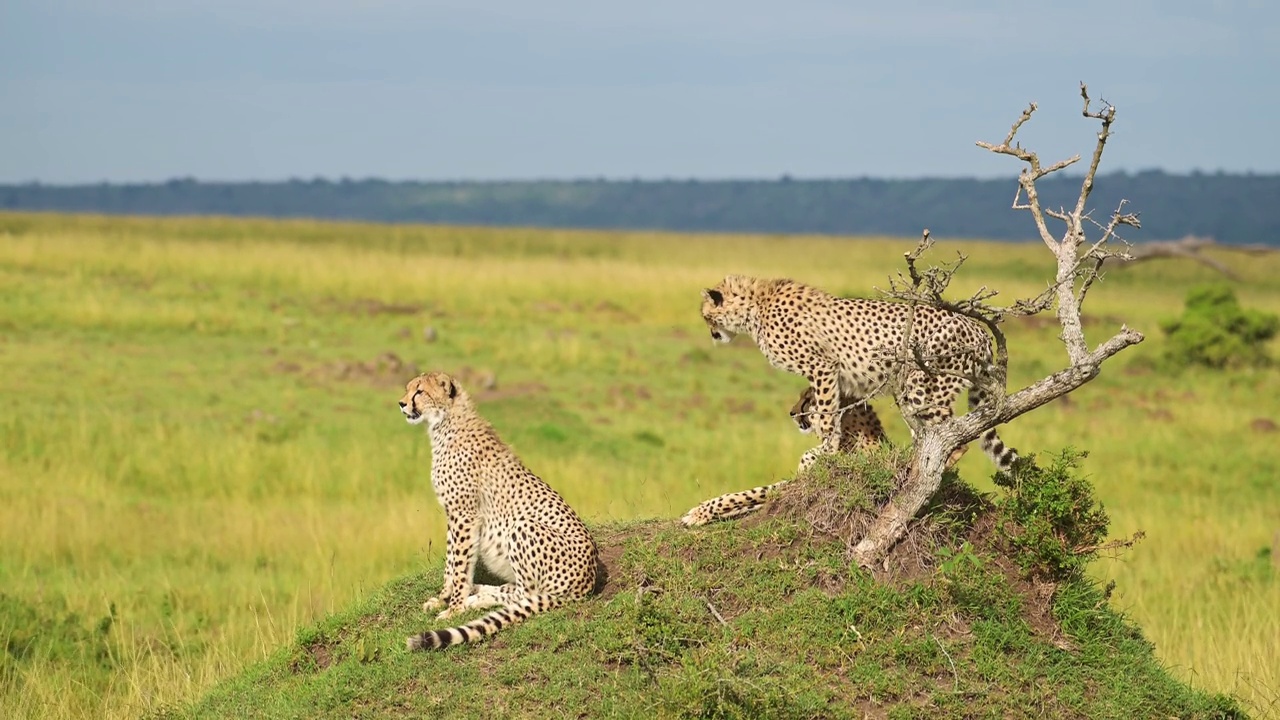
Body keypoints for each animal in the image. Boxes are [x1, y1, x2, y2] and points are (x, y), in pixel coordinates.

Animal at [396, 371, 596, 648]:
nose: (401, 403)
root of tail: (588, 581)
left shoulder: (465, 515)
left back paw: (477, 599)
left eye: (420, 392)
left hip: (523, 526)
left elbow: (460, 565)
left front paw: (454, 608)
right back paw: (479, 590)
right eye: (408, 389)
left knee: (525, 593)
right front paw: (443, 598)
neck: (445, 422)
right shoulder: (453, 514)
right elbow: (451, 561)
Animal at [680, 271, 1018, 525]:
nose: (712, 334)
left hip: (922, 386)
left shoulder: (823, 365)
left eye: (706, 316)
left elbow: (827, 416)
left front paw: (825, 450)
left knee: (951, 440)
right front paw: (701, 512)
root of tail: (978, 327)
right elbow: (754, 493)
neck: (755, 307)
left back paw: (911, 469)